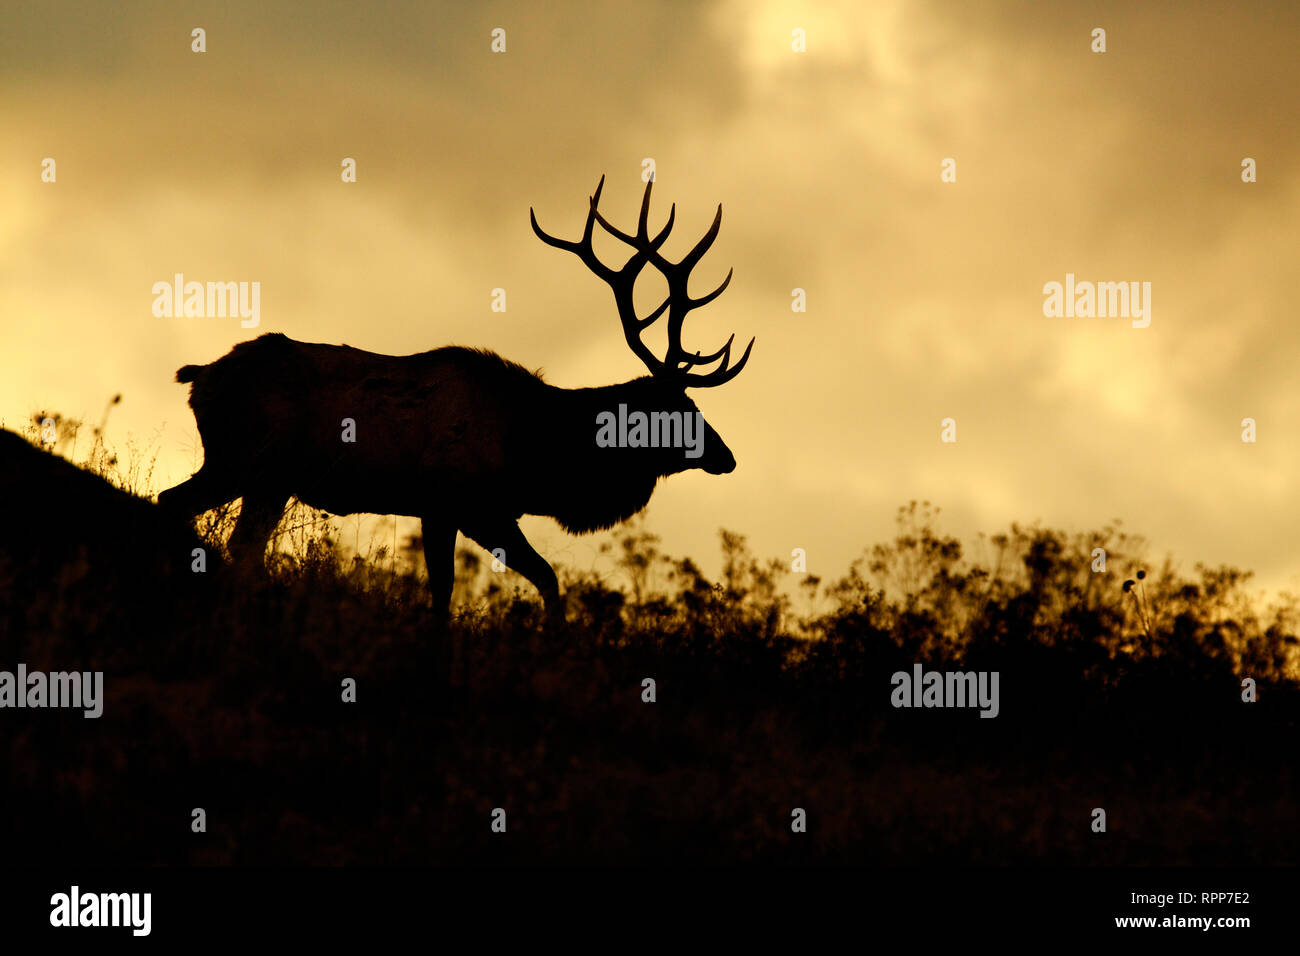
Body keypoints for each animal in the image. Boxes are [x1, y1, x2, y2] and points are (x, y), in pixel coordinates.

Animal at [157, 174, 759, 616]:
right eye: (681, 409)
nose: (727, 456)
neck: (536, 452)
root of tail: (199, 376)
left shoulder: (479, 511)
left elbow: (540, 579)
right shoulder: (457, 501)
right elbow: (462, 589)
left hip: (262, 478)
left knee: (214, 528)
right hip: (247, 463)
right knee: (192, 514)